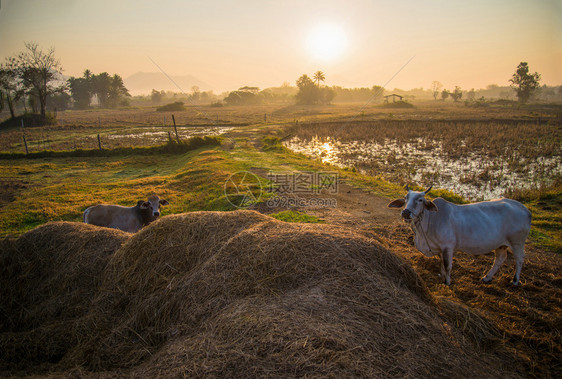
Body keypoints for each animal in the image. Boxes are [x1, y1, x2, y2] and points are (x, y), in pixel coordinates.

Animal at [388, 186, 532, 286]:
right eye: (406, 198)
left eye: (420, 200)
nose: (406, 212)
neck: (431, 220)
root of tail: (525, 209)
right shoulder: (440, 249)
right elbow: (441, 263)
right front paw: (441, 276)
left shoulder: (448, 247)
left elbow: (447, 265)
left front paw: (447, 282)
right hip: (501, 244)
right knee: (500, 258)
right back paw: (487, 277)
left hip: (517, 242)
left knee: (520, 259)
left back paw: (515, 281)